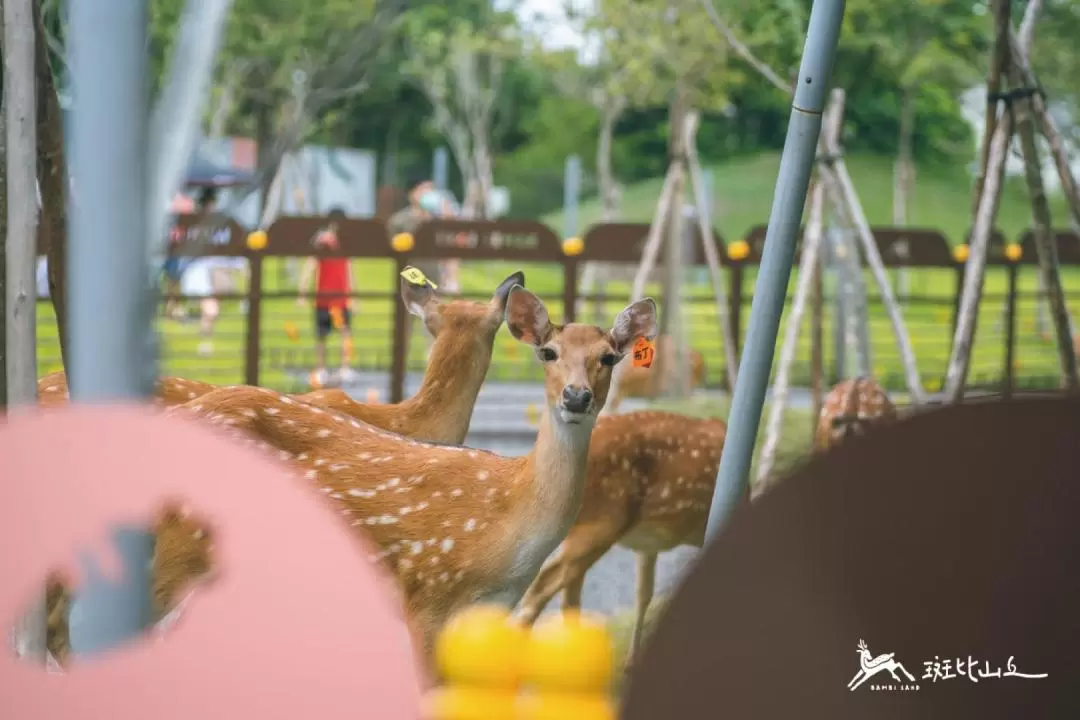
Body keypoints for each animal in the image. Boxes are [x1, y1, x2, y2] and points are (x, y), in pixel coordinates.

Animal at [511, 408, 725, 669]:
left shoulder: (649, 545)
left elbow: (644, 593)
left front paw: (632, 661)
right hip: (603, 523)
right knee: (543, 587)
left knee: (569, 596)